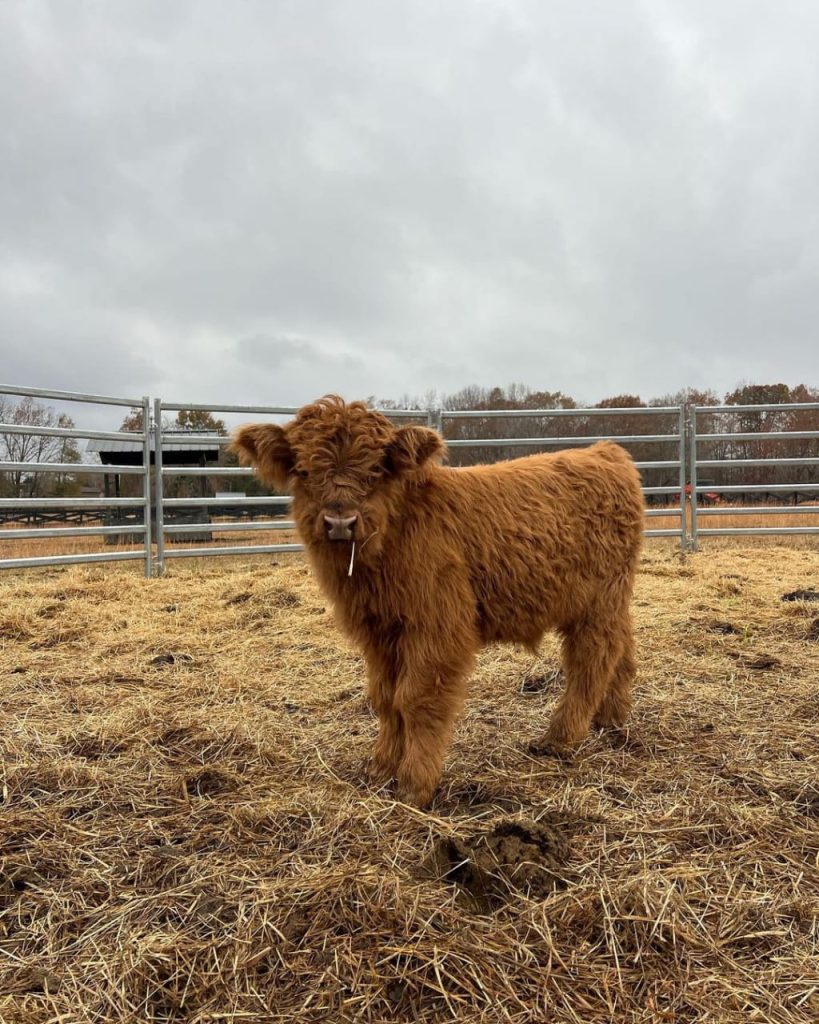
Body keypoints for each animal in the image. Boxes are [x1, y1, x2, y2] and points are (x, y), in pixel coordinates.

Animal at [233, 399, 642, 806]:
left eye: (376, 469)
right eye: (303, 470)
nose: (340, 522)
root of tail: (605, 452)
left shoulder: (437, 626)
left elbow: (417, 698)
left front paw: (414, 784)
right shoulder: (378, 631)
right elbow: (385, 698)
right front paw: (381, 768)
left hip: (598, 602)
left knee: (591, 659)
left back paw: (560, 737)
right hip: (612, 599)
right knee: (621, 648)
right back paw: (611, 719)